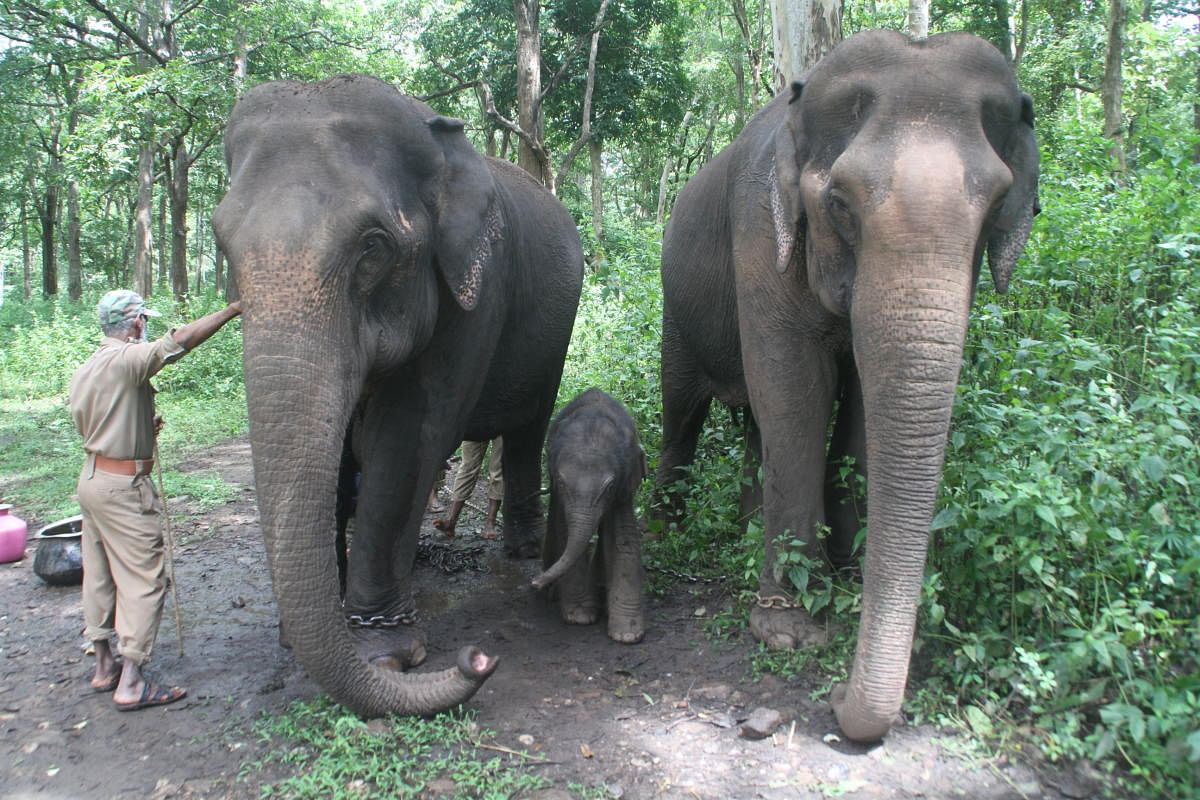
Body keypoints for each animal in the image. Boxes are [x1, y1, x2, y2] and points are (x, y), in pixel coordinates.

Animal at [217, 74, 590, 719]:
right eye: (220, 241)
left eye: (373, 248)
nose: (479, 659)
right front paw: (303, 635)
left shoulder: (476, 288)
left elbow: (406, 441)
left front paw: (385, 652)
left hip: (556, 332)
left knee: (528, 430)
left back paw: (520, 551)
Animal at [535, 388, 648, 642]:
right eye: (563, 483)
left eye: (609, 487)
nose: (534, 583)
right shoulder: (561, 493)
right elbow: (565, 532)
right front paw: (580, 617)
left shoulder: (623, 489)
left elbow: (622, 538)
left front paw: (627, 635)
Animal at [652, 31, 1036, 743]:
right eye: (839, 205)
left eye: (997, 207)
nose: (833, 700)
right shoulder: (759, 231)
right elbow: (797, 393)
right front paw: (789, 632)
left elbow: (854, 400)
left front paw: (847, 589)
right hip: (677, 309)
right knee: (683, 415)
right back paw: (666, 532)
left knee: (752, 426)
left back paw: (748, 530)